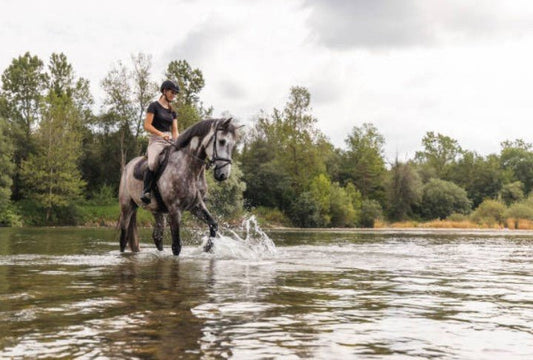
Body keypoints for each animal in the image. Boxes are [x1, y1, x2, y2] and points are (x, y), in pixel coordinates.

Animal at [120, 118, 239, 256]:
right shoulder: (175, 210)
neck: (190, 168)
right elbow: (176, 246)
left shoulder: (196, 206)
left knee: (157, 236)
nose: (223, 174)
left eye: (233, 145)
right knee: (123, 236)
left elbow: (213, 225)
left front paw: (207, 248)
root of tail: (128, 165)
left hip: (157, 211)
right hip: (127, 207)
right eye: (222, 141)